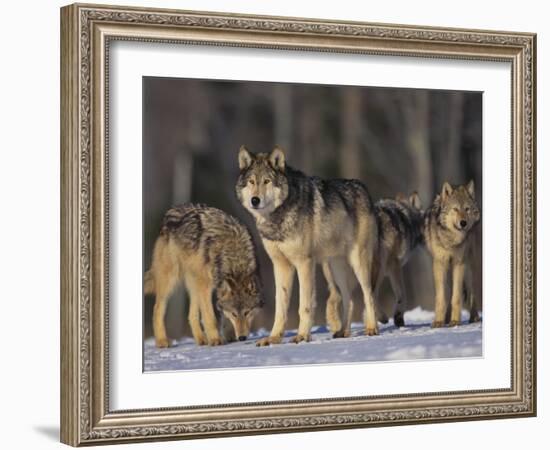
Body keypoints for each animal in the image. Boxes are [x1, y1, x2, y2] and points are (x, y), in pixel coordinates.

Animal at [144, 204, 266, 348]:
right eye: (234, 314)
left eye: (247, 312)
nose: (242, 337)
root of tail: (171, 212)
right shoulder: (206, 286)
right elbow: (210, 317)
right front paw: (215, 340)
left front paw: (229, 335)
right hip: (172, 280)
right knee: (157, 309)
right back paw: (162, 341)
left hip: (195, 283)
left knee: (191, 315)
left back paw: (201, 340)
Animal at [235, 145, 382, 344]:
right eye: (251, 181)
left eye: (266, 181)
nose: (255, 200)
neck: (277, 217)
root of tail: (364, 188)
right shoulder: (281, 265)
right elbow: (280, 306)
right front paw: (273, 338)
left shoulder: (304, 263)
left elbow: (304, 305)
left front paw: (303, 335)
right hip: (335, 268)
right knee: (349, 299)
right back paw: (342, 332)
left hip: (358, 262)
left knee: (369, 295)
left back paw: (371, 328)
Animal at [424, 180, 480, 326]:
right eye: (455, 209)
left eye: (466, 209)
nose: (463, 223)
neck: (451, 240)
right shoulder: (439, 263)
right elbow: (441, 297)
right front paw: (438, 321)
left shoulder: (459, 264)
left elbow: (457, 296)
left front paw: (455, 321)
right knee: (448, 292)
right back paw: (446, 318)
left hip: (469, 266)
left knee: (472, 292)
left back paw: (474, 317)